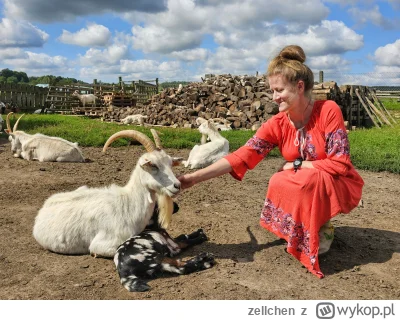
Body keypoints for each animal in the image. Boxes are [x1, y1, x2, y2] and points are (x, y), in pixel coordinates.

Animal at [32, 129, 183, 256]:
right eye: (154, 165)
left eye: (170, 164)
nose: (177, 185)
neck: (129, 204)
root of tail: (44, 207)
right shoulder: (102, 244)